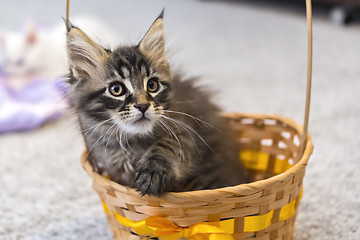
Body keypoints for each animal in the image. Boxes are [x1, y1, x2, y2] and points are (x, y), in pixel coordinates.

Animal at [65, 12, 248, 196]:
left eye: (152, 85)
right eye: (116, 89)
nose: (143, 106)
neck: (133, 143)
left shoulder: (186, 132)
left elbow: (166, 145)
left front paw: (152, 172)